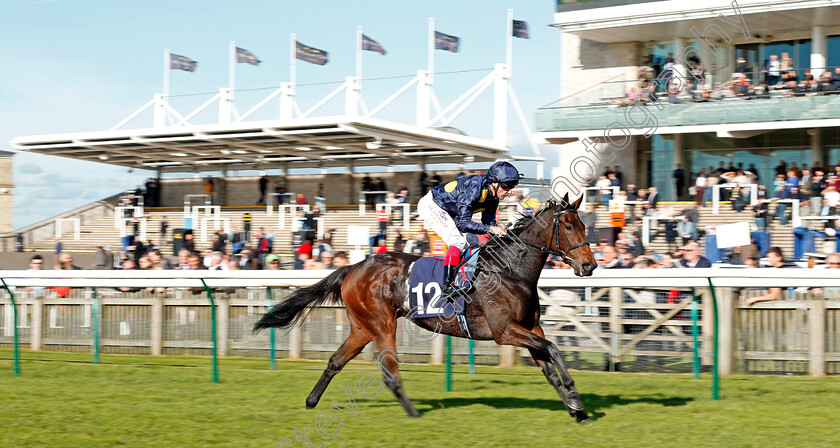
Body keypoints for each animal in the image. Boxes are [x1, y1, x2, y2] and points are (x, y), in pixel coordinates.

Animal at [253, 194, 592, 422]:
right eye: (567, 225)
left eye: (584, 225)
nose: (589, 265)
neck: (509, 269)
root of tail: (354, 267)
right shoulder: (504, 331)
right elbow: (554, 349)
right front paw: (576, 399)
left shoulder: (531, 327)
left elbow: (549, 364)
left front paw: (575, 409)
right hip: (382, 324)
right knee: (389, 372)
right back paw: (413, 412)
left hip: (362, 327)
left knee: (335, 361)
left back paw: (311, 401)